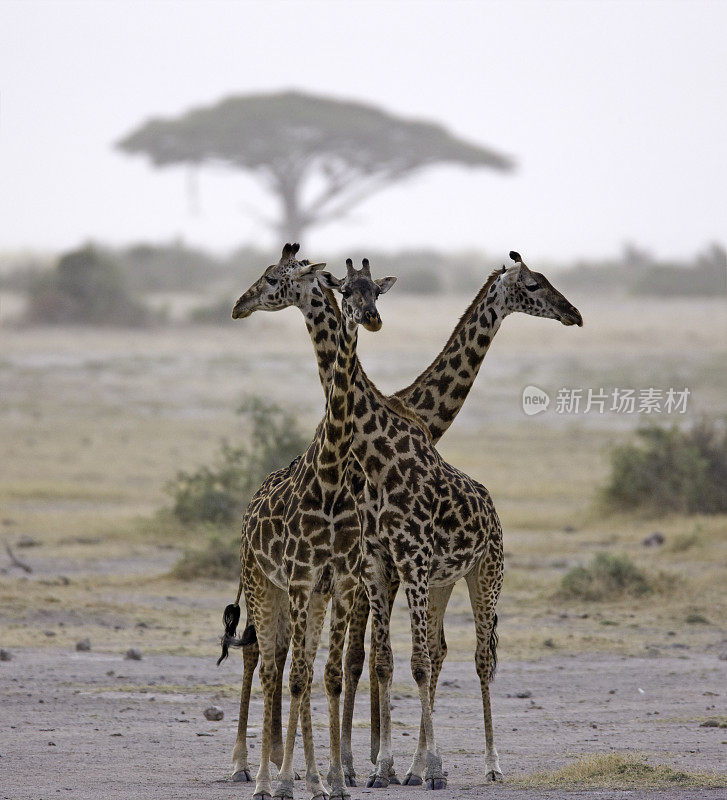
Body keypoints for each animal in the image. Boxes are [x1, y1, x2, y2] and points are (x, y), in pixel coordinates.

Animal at [219, 245, 584, 788]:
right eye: (534, 285)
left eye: (269, 278)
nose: (573, 313)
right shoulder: (376, 567)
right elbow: (372, 660)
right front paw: (369, 764)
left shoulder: (394, 567)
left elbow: (386, 660)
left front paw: (386, 763)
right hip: (284, 577)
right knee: (264, 651)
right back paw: (250, 763)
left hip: (471, 575)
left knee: (469, 655)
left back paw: (485, 764)